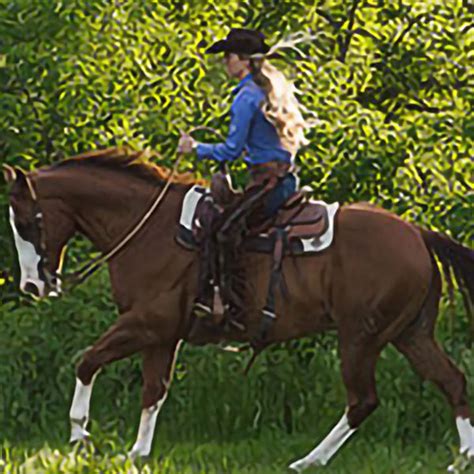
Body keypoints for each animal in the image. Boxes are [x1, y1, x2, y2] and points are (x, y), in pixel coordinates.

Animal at [4, 148, 474, 470]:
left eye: (25, 222)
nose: (31, 285)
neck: (147, 229)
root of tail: (418, 234)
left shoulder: (144, 323)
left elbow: (87, 362)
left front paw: (78, 434)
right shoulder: (163, 335)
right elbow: (154, 391)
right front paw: (136, 453)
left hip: (360, 337)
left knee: (362, 400)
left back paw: (309, 460)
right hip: (410, 334)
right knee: (452, 381)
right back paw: (461, 458)